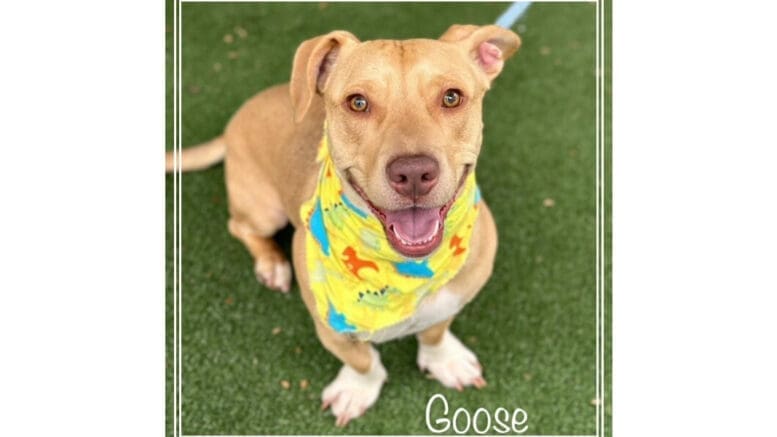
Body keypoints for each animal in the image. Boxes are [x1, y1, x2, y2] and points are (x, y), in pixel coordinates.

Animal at [168, 24, 520, 426]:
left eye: (451, 97)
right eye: (358, 103)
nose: (414, 173)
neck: (407, 269)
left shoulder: (452, 298)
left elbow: (434, 331)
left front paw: (444, 360)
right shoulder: (329, 328)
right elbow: (362, 361)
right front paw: (356, 390)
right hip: (261, 208)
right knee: (240, 227)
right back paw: (272, 264)